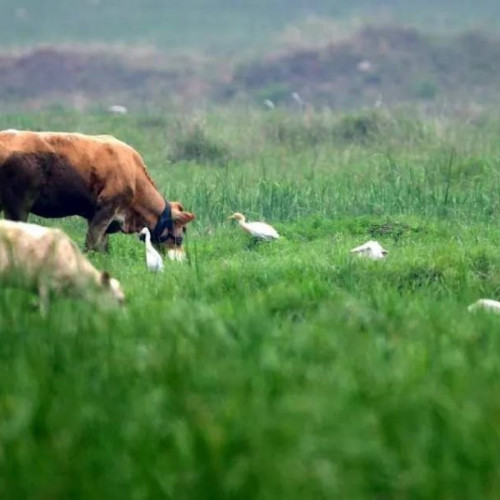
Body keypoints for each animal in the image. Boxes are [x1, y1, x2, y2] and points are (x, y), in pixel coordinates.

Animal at [0, 130, 194, 250]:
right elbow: (91, 243)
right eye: (180, 235)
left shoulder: (96, 216)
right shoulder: (106, 208)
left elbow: (102, 247)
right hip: (18, 206)